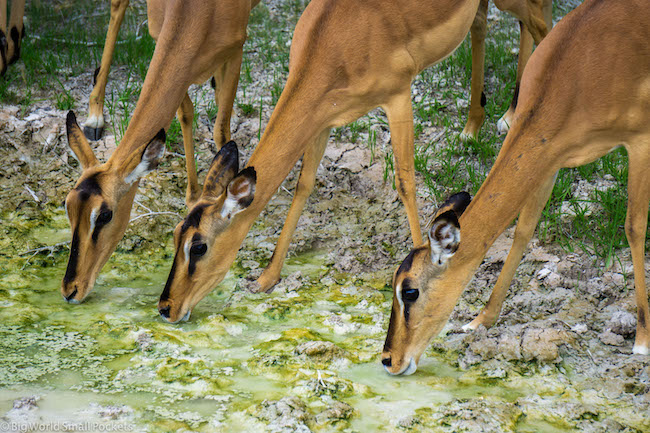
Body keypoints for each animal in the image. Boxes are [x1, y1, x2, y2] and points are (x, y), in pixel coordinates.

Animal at [61, 0, 258, 304]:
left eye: (104, 215)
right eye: (67, 205)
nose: (70, 289)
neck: (200, 12)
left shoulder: (236, 50)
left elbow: (221, 130)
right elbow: (185, 113)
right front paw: (194, 195)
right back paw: (94, 119)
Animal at [154, 0, 548, 322]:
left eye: (199, 245)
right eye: (175, 234)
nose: (166, 307)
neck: (334, 42)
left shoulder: (398, 96)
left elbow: (406, 181)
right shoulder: (324, 119)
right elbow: (304, 185)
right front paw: (267, 277)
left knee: (540, 24)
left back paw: (511, 116)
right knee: (486, 24)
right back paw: (475, 126)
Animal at [380, 0, 648, 374]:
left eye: (410, 291)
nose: (388, 359)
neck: (576, 78)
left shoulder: (640, 141)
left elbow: (634, 227)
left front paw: (642, 340)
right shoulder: (551, 157)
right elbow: (523, 229)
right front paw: (481, 319)